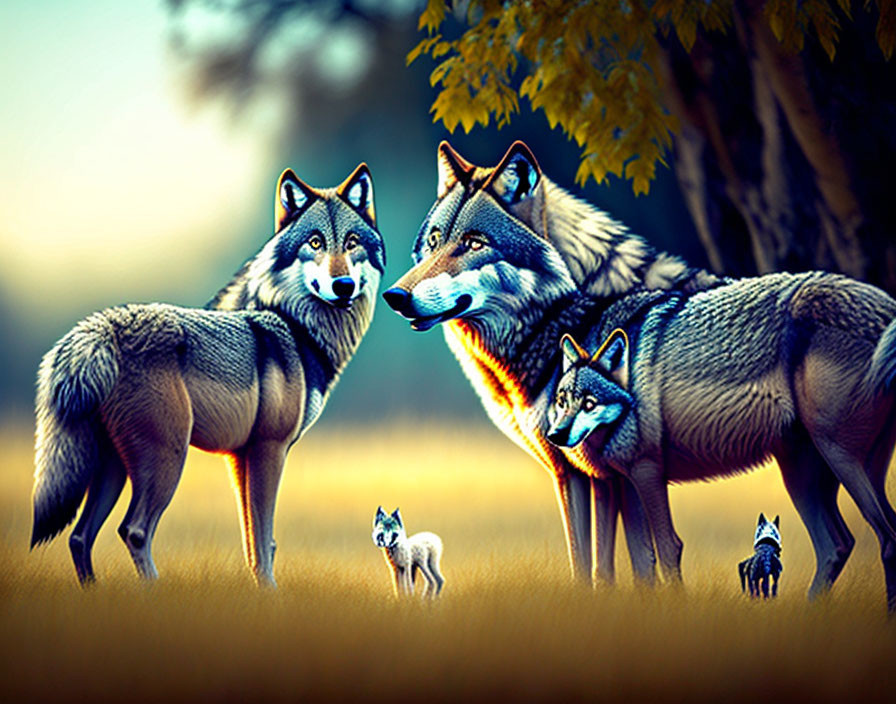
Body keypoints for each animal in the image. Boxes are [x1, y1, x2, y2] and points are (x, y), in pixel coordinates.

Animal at [27, 162, 384, 584]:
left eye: (351, 242)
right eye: (315, 242)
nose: (343, 286)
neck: (298, 330)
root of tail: (96, 330)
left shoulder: (240, 457)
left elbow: (254, 544)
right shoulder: (269, 450)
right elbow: (264, 539)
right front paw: (272, 591)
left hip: (113, 470)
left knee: (80, 537)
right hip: (167, 459)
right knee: (133, 530)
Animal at [384, 140, 896, 608]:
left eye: (473, 244)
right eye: (433, 243)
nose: (395, 296)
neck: (575, 317)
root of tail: (884, 301)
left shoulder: (587, 475)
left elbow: (606, 558)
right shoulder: (605, 476)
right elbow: (619, 564)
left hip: (839, 458)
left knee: (883, 537)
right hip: (803, 473)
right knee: (838, 544)